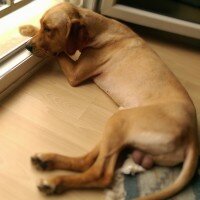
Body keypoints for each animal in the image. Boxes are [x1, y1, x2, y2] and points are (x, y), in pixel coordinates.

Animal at [19, 2, 198, 199]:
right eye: (42, 25)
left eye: (49, 29)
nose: (27, 47)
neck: (99, 30)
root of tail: (193, 136)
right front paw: (28, 29)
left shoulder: (74, 75)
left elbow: (59, 51)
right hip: (119, 123)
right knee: (86, 160)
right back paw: (47, 160)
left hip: (119, 120)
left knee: (99, 173)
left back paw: (54, 182)